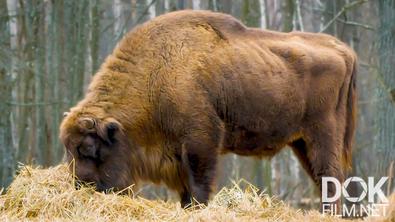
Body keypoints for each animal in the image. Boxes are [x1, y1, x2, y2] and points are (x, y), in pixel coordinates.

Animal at [59, 10, 358, 208]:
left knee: (330, 176)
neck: (156, 75)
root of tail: (342, 50)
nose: (81, 186)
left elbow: (199, 184)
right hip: (301, 143)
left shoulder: (200, 141)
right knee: (323, 179)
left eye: (88, 148)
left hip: (322, 135)